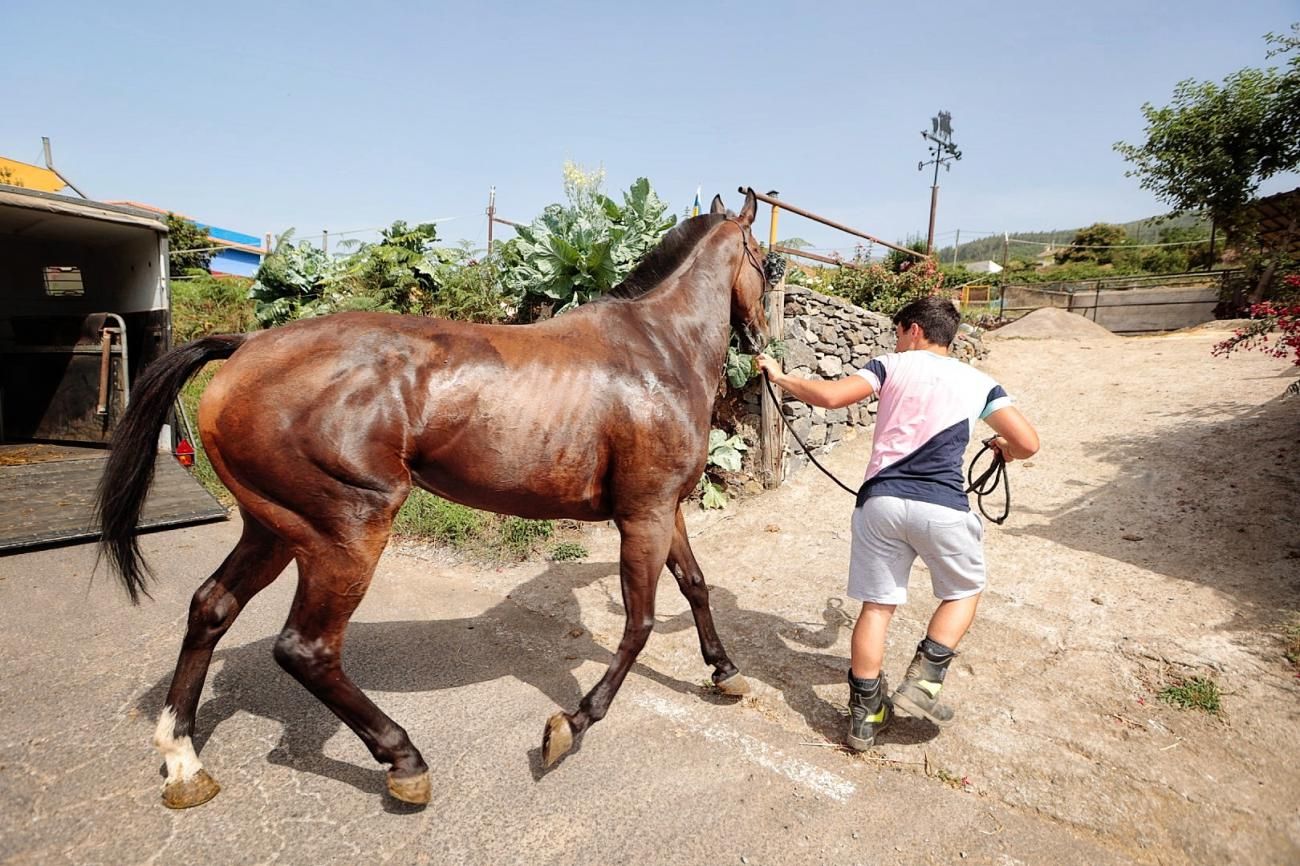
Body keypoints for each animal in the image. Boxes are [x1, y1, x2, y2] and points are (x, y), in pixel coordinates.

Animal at [101, 188, 774, 811]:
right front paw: (569, 726)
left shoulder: (667, 510)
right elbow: (640, 623)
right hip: (347, 532)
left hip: (272, 528)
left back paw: (183, 761)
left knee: (211, 608)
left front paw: (727, 674)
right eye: (767, 264)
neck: (655, 351)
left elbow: (695, 587)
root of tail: (245, 347)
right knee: (306, 649)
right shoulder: (644, 515)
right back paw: (405, 761)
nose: (763, 337)